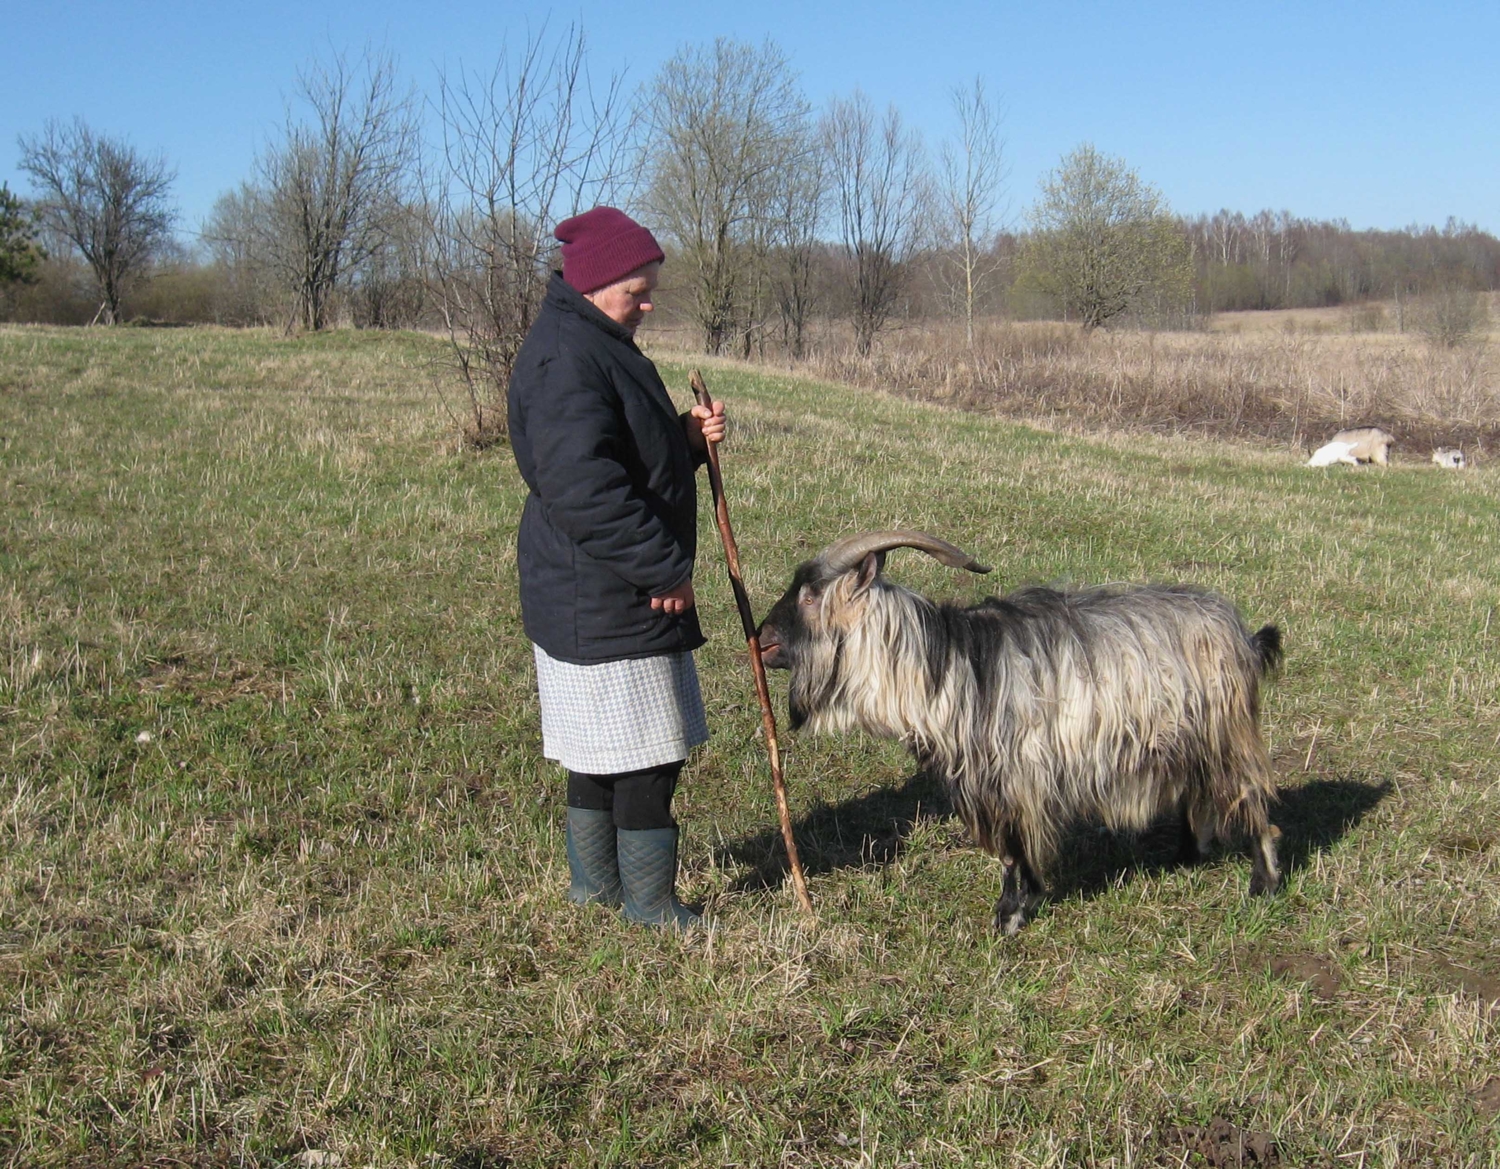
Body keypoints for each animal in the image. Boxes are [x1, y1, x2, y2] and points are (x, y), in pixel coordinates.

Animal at [756, 534, 1284, 936]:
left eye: (809, 595)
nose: (760, 638)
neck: (946, 668)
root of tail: (1241, 634)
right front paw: (1023, 903)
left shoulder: (1012, 778)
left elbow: (1013, 851)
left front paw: (1008, 916)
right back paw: (1187, 857)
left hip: (1227, 733)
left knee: (1252, 797)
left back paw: (1264, 884)